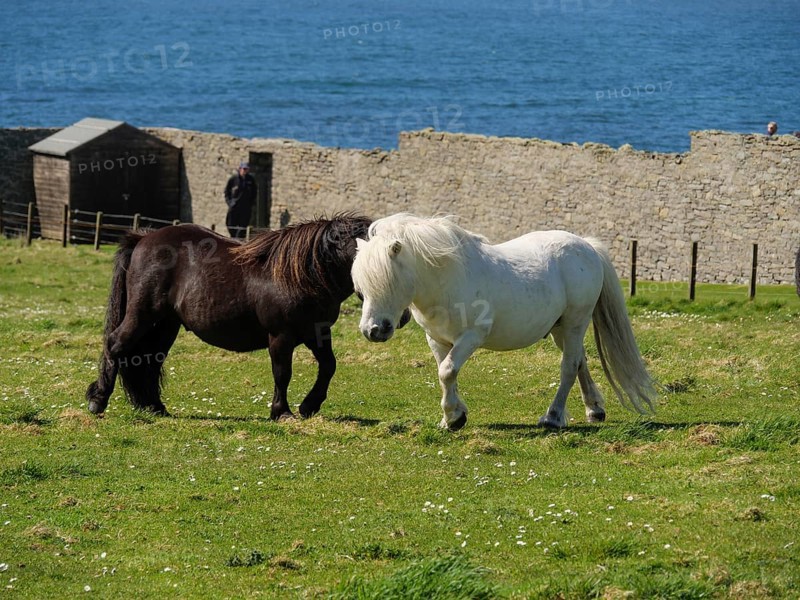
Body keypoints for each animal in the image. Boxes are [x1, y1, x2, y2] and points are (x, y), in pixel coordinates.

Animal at [86, 214, 373, 421]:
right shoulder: (281, 337)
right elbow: (283, 373)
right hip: (143, 314)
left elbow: (328, 366)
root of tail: (142, 239)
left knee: (151, 359)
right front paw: (282, 412)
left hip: (164, 325)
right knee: (116, 345)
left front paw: (309, 406)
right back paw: (98, 401)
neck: (299, 274)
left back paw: (155, 407)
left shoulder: (316, 333)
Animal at [351, 213, 658, 430]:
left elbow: (448, 371)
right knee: (580, 361)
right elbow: (445, 373)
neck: (446, 278)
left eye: (389, 281)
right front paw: (453, 416)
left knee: (569, 367)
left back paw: (553, 417)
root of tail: (587, 247)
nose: (373, 330)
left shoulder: (471, 337)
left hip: (575, 323)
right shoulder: (437, 339)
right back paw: (594, 409)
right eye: (361, 288)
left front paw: (453, 418)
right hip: (560, 329)